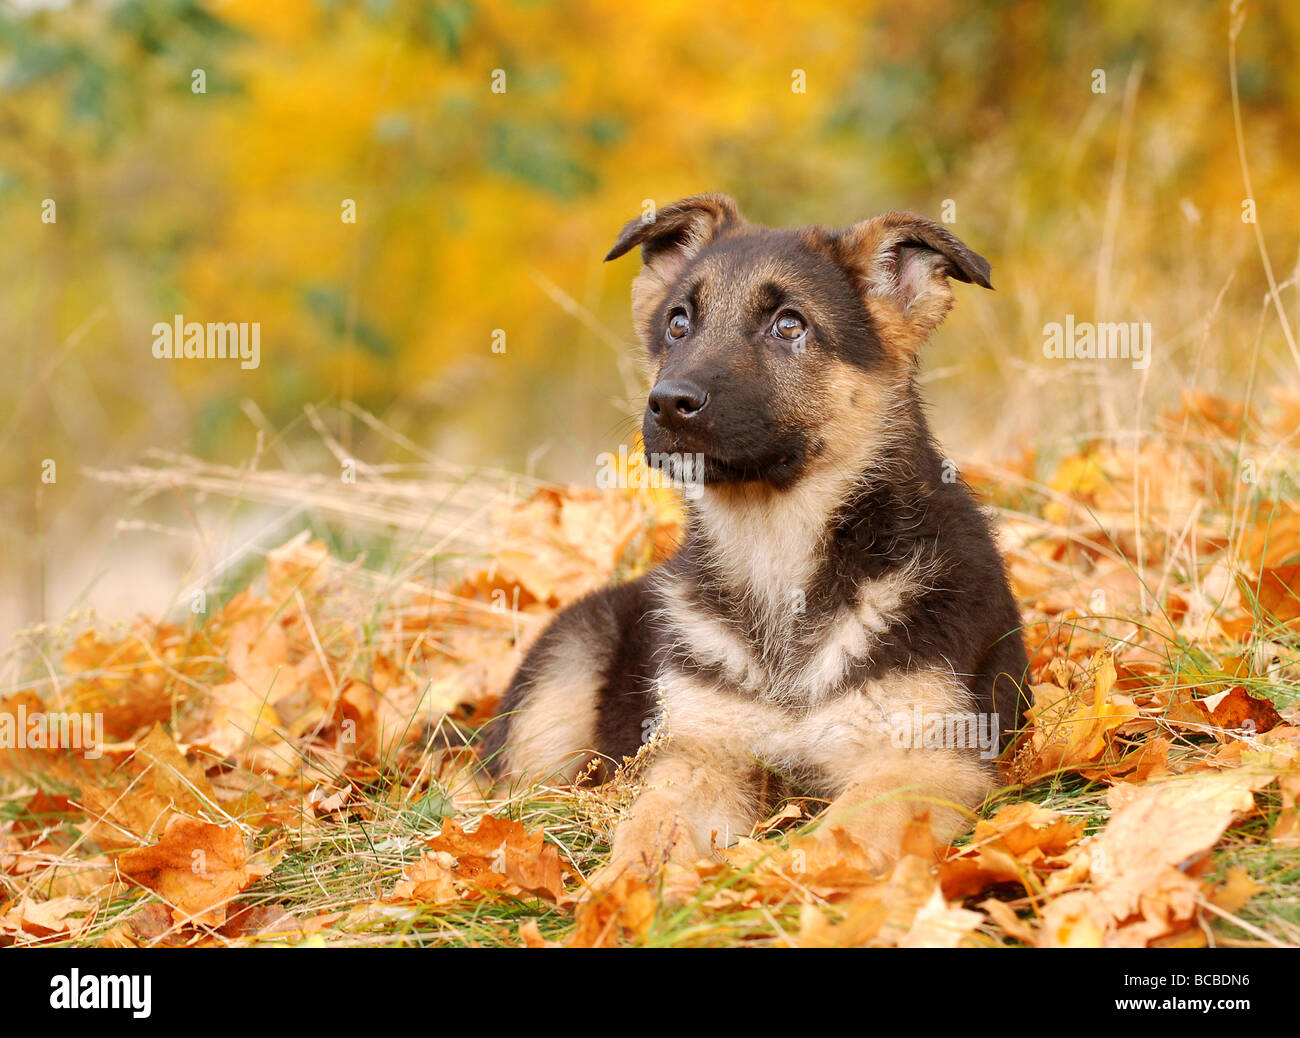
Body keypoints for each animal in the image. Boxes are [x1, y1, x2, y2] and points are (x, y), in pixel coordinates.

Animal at [483, 192, 1029, 879]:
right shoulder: (699, 756)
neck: (775, 550)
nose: (668, 403)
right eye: (679, 323)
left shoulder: (927, 760)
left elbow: (839, 833)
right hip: (559, 687)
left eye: (789, 326)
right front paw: (623, 887)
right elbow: (649, 823)